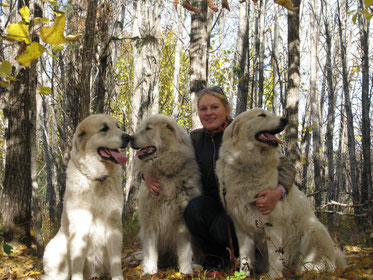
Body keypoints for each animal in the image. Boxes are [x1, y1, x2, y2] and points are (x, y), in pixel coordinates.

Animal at [41, 114, 129, 280]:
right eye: (104, 128)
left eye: (118, 126)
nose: (128, 137)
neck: (97, 179)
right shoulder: (80, 226)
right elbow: (77, 262)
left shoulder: (114, 224)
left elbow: (116, 262)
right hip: (58, 251)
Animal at [130, 114, 202, 276]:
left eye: (148, 129)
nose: (129, 138)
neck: (164, 172)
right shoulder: (150, 221)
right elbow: (150, 250)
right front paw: (150, 270)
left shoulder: (182, 222)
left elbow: (185, 251)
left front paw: (186, 271)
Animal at [215, 108, 346, 276]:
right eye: (262, 115)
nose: (285, 120)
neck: (248, 164)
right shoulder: (241, 227)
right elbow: (245, 257)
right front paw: (243, 275)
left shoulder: (273, 224)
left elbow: (274, 256)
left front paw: (273, 276)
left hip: (314, 231)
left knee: (320, 264)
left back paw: (309, 269)